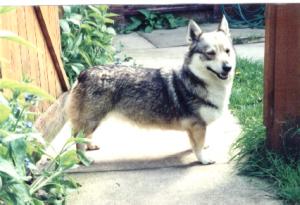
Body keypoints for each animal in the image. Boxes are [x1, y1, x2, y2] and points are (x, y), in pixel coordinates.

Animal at [35, 15, 236, 165]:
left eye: (227, 51)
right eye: (210, 54)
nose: (228, 67)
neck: (198, 81)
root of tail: (84, 73)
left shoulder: (195, 128)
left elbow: (196, 144)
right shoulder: (197, 126)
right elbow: (198, 148)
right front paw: (204, 159)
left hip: (95, 120)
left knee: (83, 137)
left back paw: (90, 147)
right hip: (92, 120)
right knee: (77, 140)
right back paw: (84, 159)